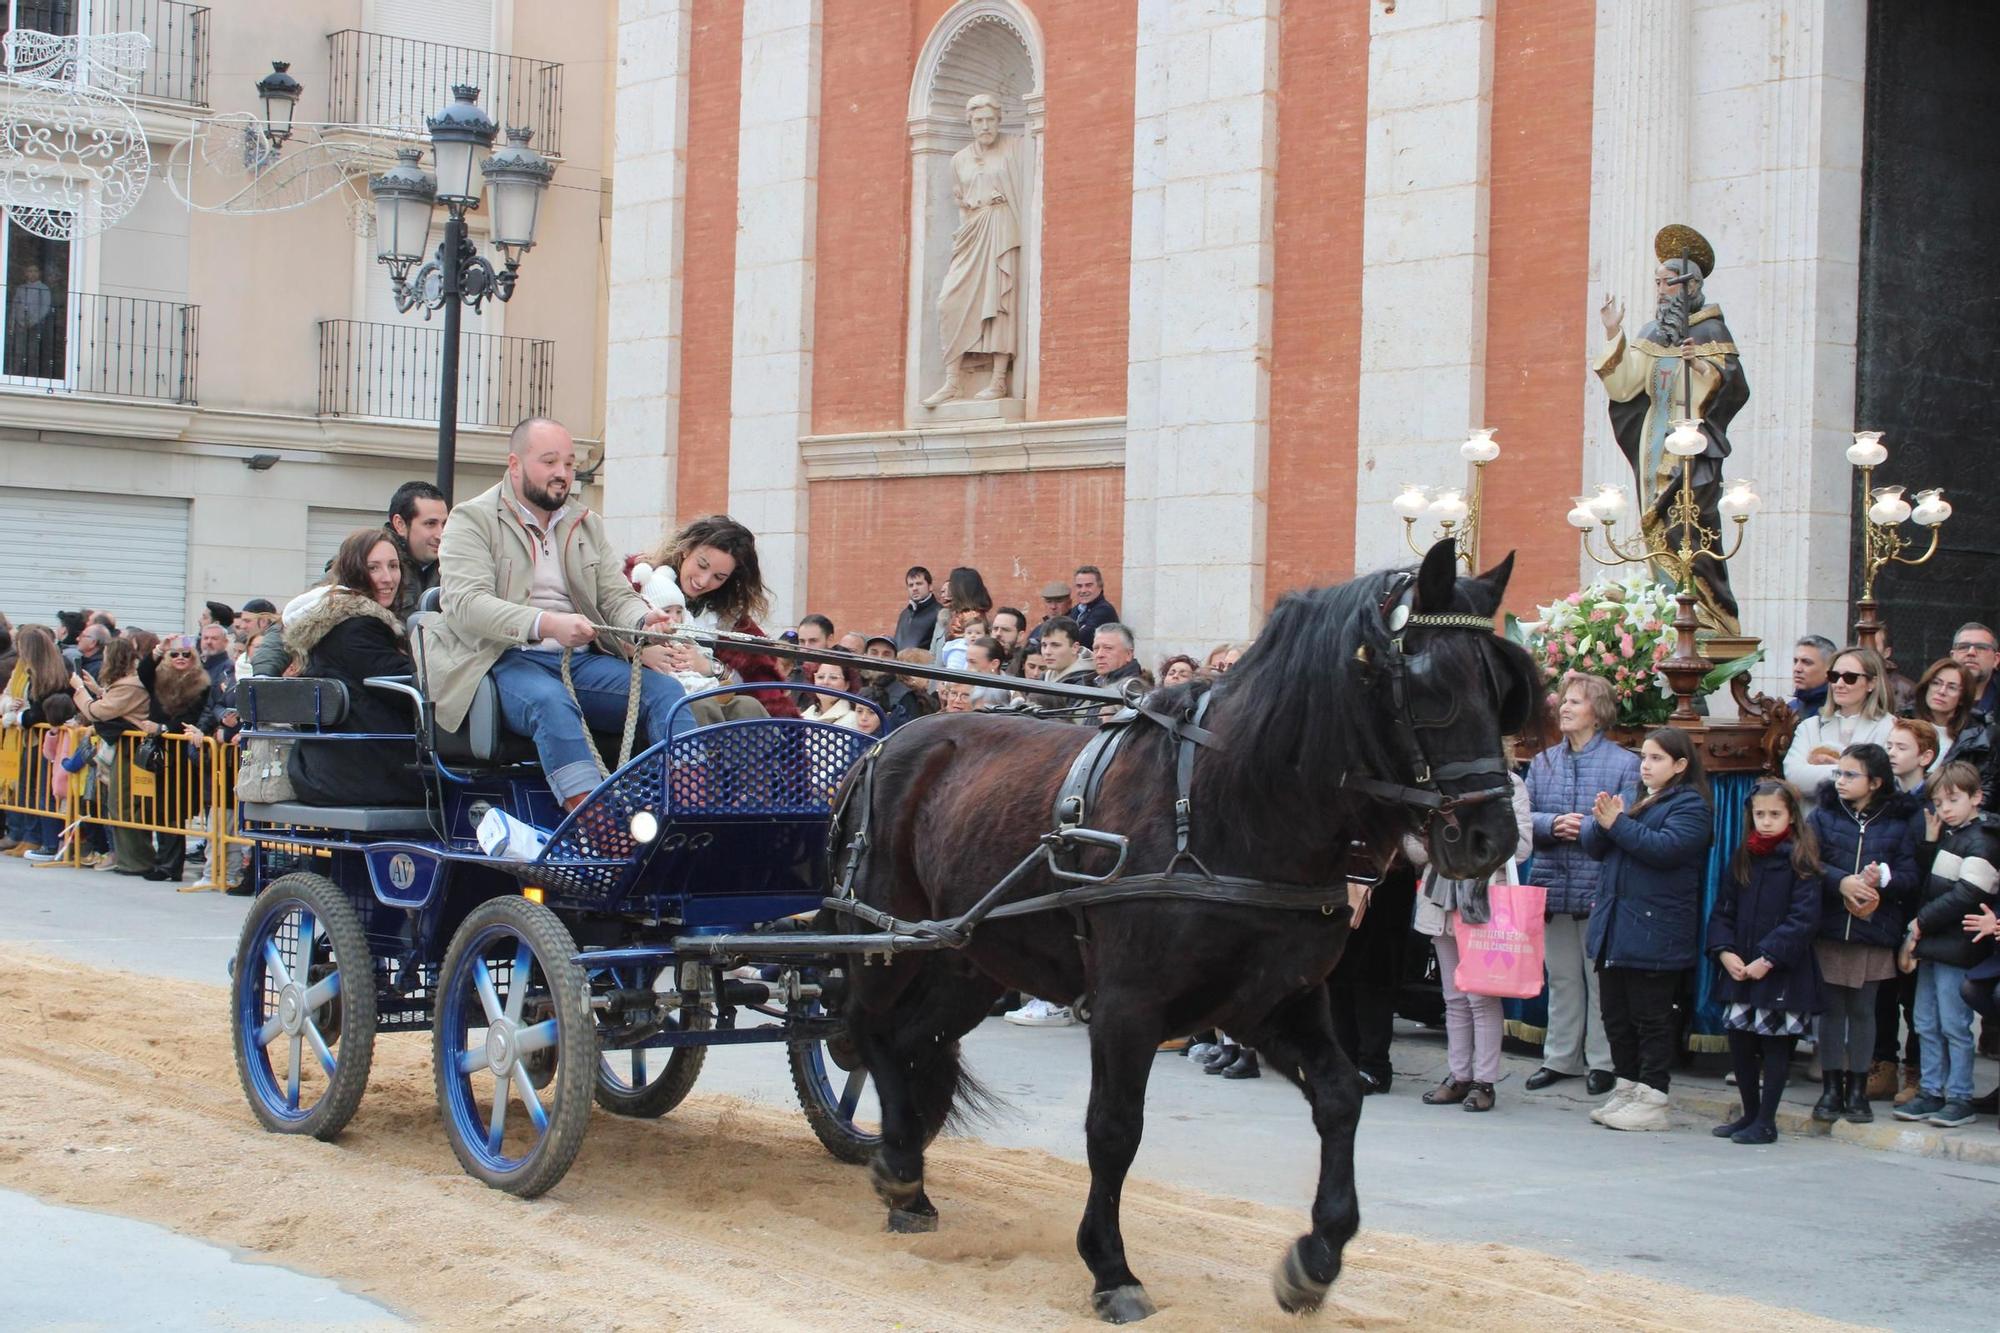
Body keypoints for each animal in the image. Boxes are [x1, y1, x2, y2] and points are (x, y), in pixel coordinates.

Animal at [824, 540, 1528, 1320]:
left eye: (1503, 686)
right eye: (1435, 686)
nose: (1491, 836)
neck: (1233, 807)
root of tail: (886, 744)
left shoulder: (1272, 1000)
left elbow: (1341, 1096)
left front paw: (1315, 1257)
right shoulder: (1129, 1005)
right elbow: (1114, 1128)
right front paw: (1111, 1266)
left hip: (968, 961)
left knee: (911, 1041)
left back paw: (908, 1177)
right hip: (884, 938)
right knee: (868, 1031)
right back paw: (896, 1162)